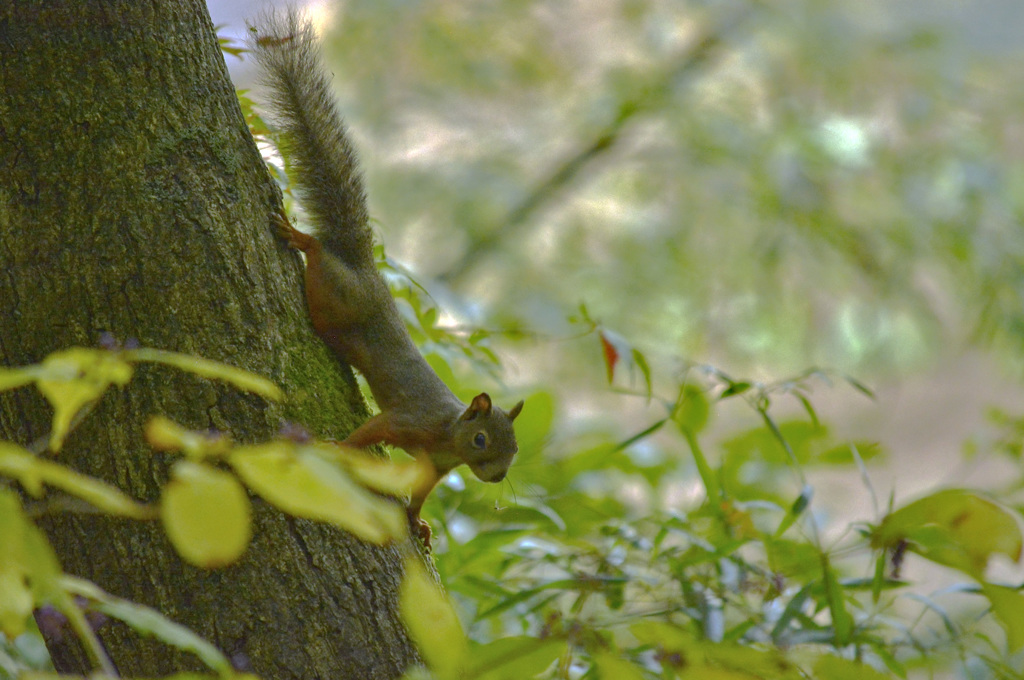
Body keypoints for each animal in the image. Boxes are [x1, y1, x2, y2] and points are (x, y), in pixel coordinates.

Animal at [245, 9, 520, 540]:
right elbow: (371, 432)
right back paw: (301, 239)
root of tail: (361, 266)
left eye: (513, 449)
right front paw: (339, 449)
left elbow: (421, 491)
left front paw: (418, 524)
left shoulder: (434, 465)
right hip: (334, 296)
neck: (448, 436)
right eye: (481, 440)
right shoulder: (408, 421)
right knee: (319, 262)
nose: (498, 477)